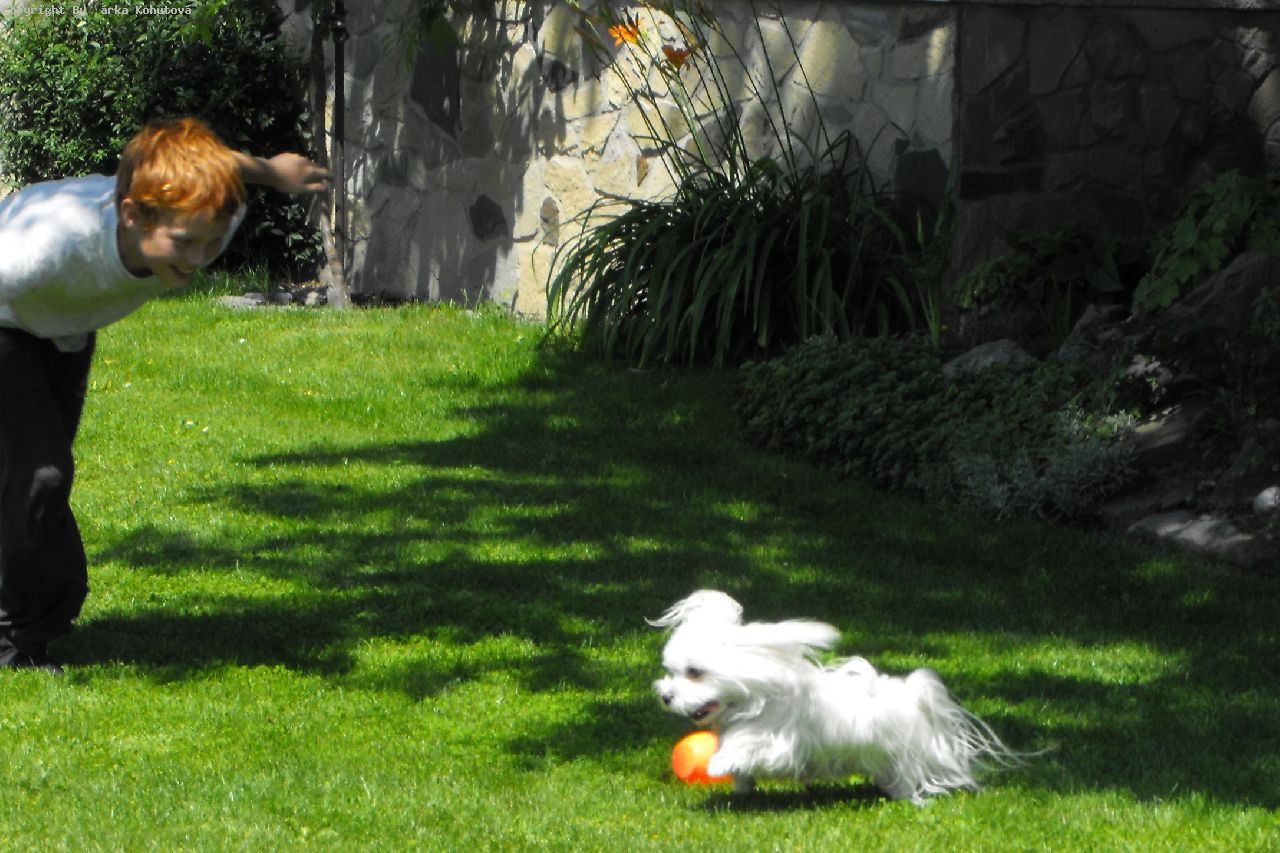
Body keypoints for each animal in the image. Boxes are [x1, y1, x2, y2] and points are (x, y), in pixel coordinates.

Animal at [651, 590, 1025, 803]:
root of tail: (916, 697)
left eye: (694, 672)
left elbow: (748, 744)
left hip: (904, 756)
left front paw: (720, 763)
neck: (756, 698)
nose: (666, 697)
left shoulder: (779, 741)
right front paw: (743, 784)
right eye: (670, 671)